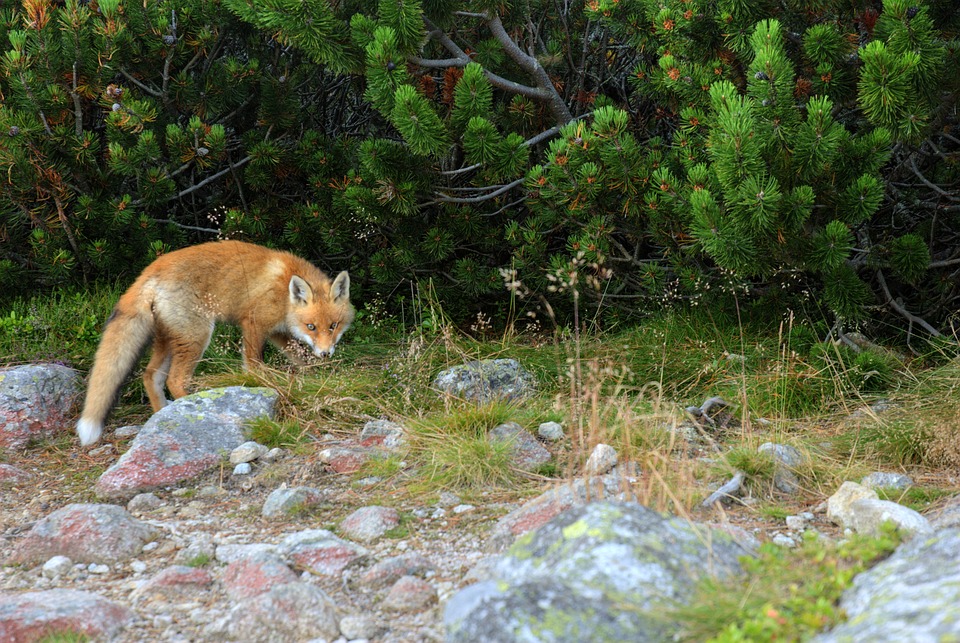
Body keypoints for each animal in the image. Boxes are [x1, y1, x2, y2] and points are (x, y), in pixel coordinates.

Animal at [76, 240, 355, 446]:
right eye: (311, 327)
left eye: (333, 326)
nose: (326, 353)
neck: (284, 293)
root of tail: (151, 270)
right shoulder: (253, 324)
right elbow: (254, 365)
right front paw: (261, 384)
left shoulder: (278, 333)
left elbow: (300, 358)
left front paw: (316, 377)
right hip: (196, 337)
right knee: (174, 380)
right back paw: (191, 407)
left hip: (169, 340)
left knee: (150, 375)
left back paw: (161, 413)